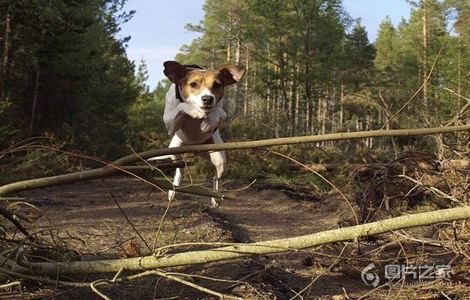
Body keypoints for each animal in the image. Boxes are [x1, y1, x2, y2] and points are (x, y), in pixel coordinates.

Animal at [150, 61, 246, 206]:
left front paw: (208, 122)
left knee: (215, 178)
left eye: (217, 85)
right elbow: (182, 107)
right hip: (174, 151)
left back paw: (215, 197)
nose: (207, 99)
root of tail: (195, 149)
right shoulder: (169, 124)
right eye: (193, 84)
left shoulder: (223, 114)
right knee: (180, 170)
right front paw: (193, 110)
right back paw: (173, 191)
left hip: (220, 161)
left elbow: (217, 112)